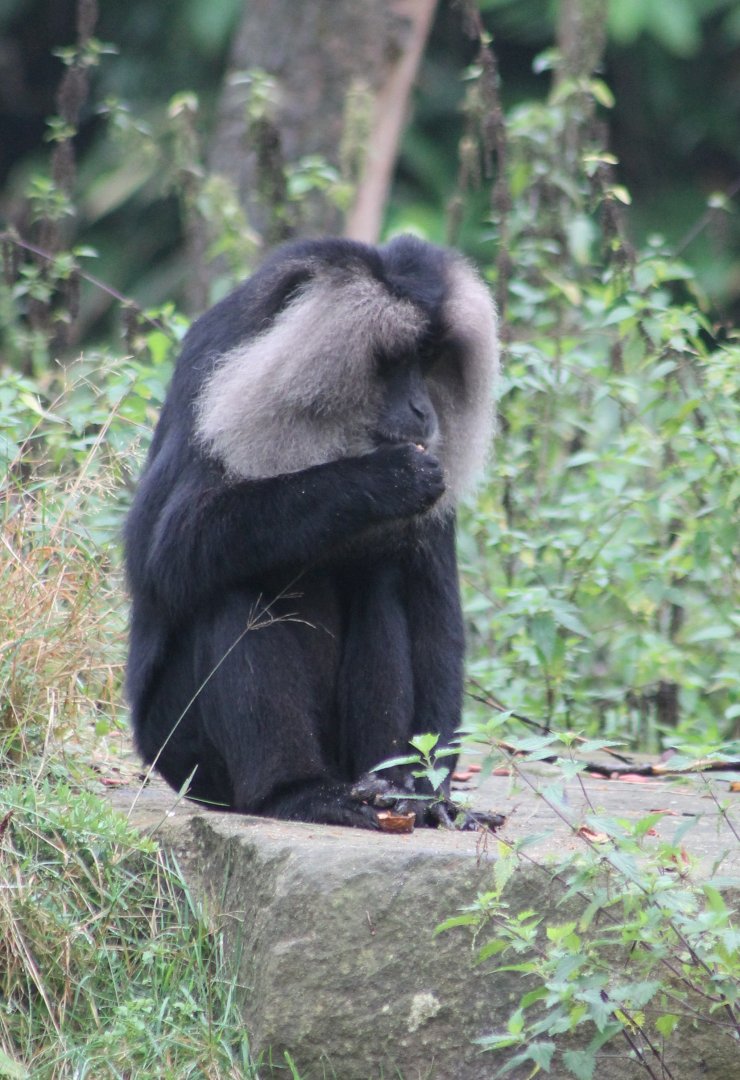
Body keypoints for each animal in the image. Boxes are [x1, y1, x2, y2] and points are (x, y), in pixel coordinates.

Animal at [124, 235, 500, 829]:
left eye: (428, 361)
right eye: (392, 362)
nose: (423, 410)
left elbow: (435, 615)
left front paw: (434, 795)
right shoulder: (214, 395)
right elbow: (163, 556)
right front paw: (381, 479)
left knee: (382, 581)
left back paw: (389, 789)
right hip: (186, 757)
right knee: (230, 587)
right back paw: (296, 793)